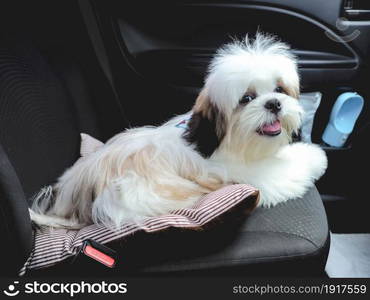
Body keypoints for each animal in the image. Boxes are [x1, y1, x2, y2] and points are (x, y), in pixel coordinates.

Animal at [31, 32, 326, 229]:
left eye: (279, 89)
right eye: (246, 98)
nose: (274, 103)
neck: (223, 142)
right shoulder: (250, 175)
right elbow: (288, 170)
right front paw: (316, 157)